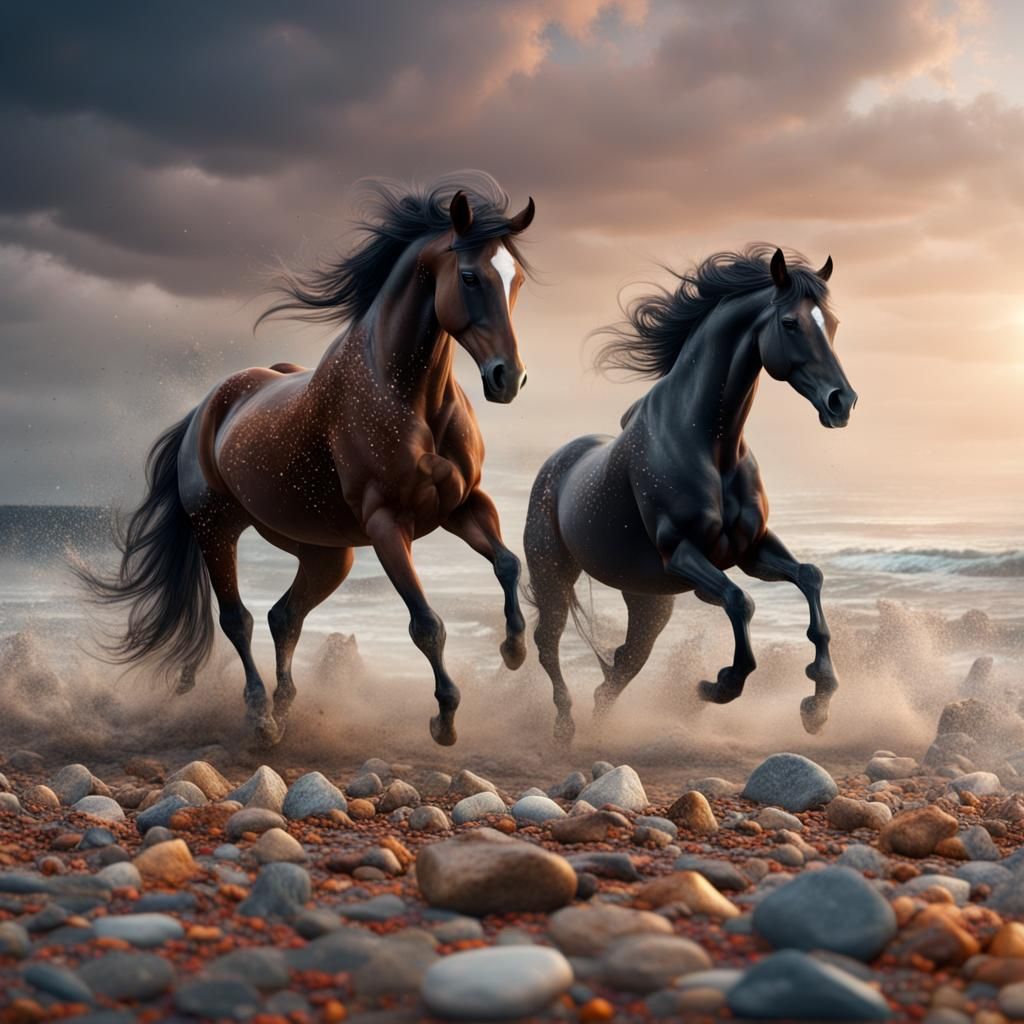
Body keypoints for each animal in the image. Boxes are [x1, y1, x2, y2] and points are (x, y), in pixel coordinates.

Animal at [78, 172, 536, 747]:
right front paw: (444, 718)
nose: (508, 378)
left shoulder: (463, 503)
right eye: (471, 277)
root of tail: (205, 409)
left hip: (325, 553)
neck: (410, 397)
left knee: (284, 617)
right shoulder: (388, 524)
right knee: (239, 619)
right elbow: (426, 623)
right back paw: (261, 717)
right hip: (216, 529)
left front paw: (514, 650)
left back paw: (286, 705)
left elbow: (507, 562)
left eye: (516, 280)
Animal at [523, 245, 857, 744]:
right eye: (790, 323)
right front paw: (718, 685)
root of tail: (554, 466)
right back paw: (565, 726)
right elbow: (740, 601)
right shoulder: (682, 552)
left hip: (648, 601)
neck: (711, 447)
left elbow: (810, 577)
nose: (842, 402)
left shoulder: (750, 550)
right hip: (553, 576)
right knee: (549, 643)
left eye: (831, 323)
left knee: (622, 663)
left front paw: (818, 702)